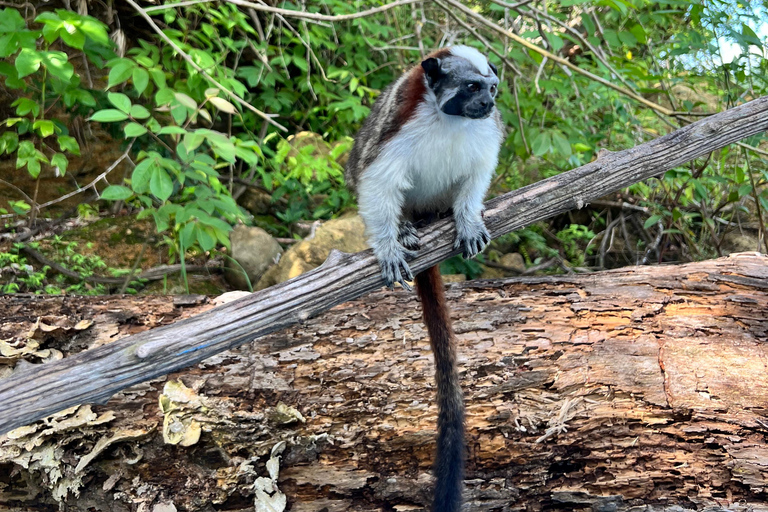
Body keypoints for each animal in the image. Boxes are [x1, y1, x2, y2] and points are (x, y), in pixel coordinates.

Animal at [346, 46, 504, 510]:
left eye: (491, 88)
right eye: (471, 87)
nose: (488, 104)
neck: (447, 118)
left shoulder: (485, 132)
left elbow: (478, 171)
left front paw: (467, 220)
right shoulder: (399, 121)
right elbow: (374, 178)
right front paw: (388, 245)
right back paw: (404, 228)